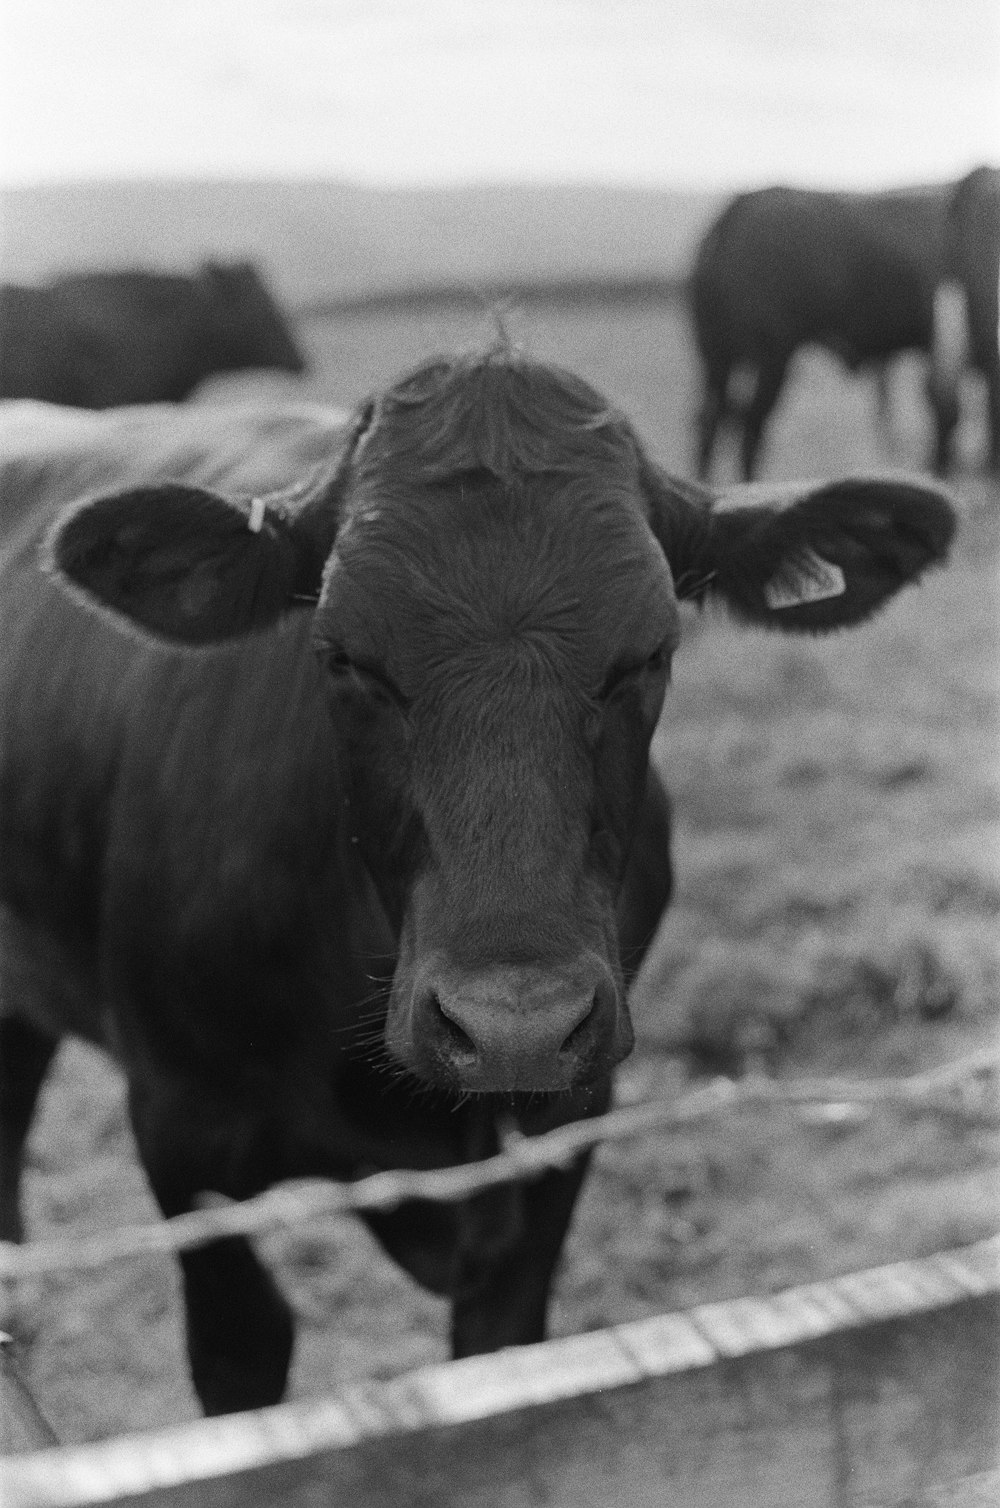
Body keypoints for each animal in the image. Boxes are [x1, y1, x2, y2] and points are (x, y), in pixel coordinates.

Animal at [0, 346, 959, 1417]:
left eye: (652, 652)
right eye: (341, 655)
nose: (514, 1026)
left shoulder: (564, 1129)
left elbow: (502, 1357)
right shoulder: (179, 1134)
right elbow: (245, 1352)